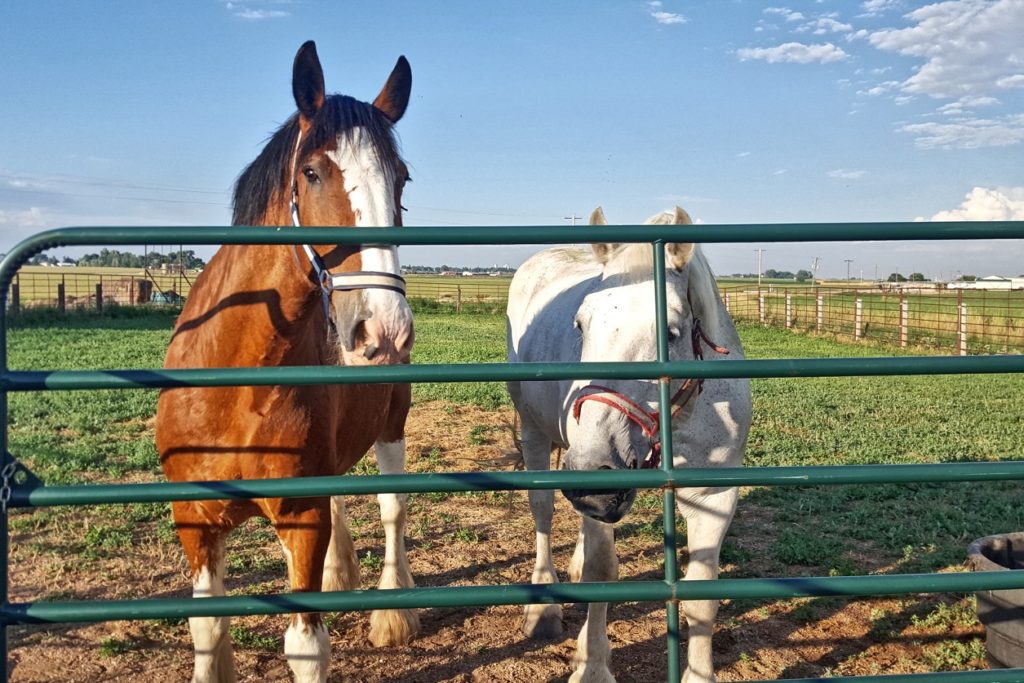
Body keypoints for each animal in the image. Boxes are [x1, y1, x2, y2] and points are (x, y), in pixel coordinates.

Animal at [154, 42, 415, 683]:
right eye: (312, 172)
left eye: (400, 179)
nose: (385, 331)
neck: (235, 383)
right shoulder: (194, 520)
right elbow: (206, 627)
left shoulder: (301, 516)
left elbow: (305, 646)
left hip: (392, 427)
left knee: (392, 512)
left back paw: (392, 615)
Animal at [505, 206, 753, 683]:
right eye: (581, 324)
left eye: (671, 332)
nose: (593, 471)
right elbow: (601, 572)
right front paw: (592, 665)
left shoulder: (714, 497)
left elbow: (701, 595)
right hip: (534, 432)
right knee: (543, 511)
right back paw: (543, 607)